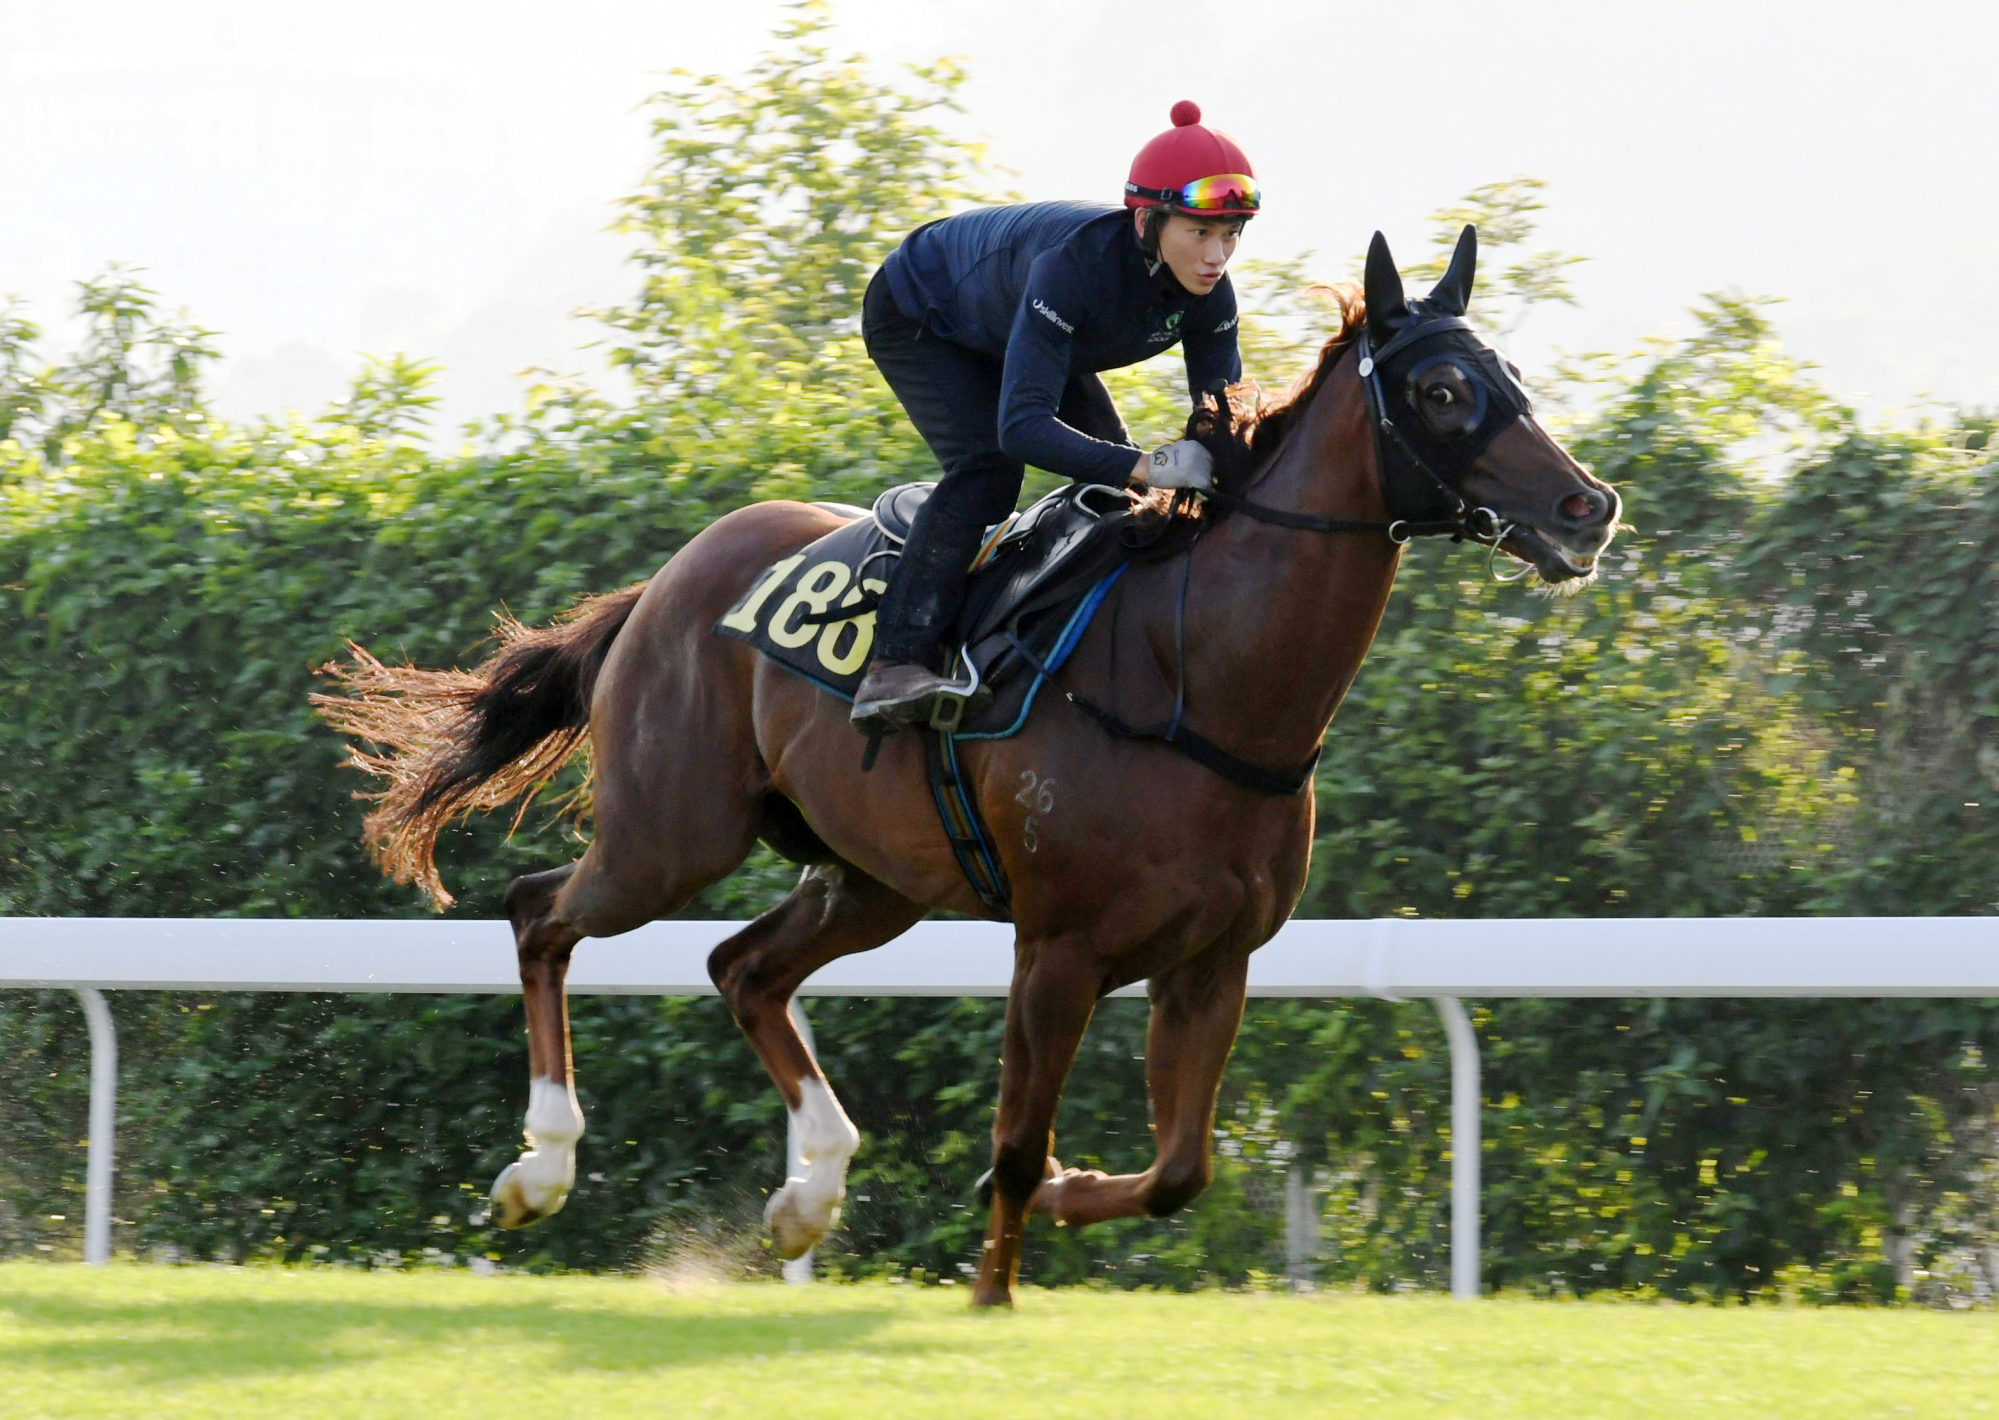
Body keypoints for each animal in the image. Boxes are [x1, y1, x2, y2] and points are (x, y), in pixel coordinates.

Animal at [319, 225, 1615, 1312]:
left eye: (1510, 372)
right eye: (1442, 391)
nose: (1587, 505)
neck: (1201, 681)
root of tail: (667, 581)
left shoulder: (1213, 959)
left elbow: (1180, 1168)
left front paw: (1066, 1198)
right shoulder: (1059, 949)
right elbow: (1015, 1140)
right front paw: (993, 1291)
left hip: (871, 877)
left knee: (743, 969)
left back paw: (810, 1188)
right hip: (672, 835)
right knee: (541, 912)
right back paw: (541, 1165)